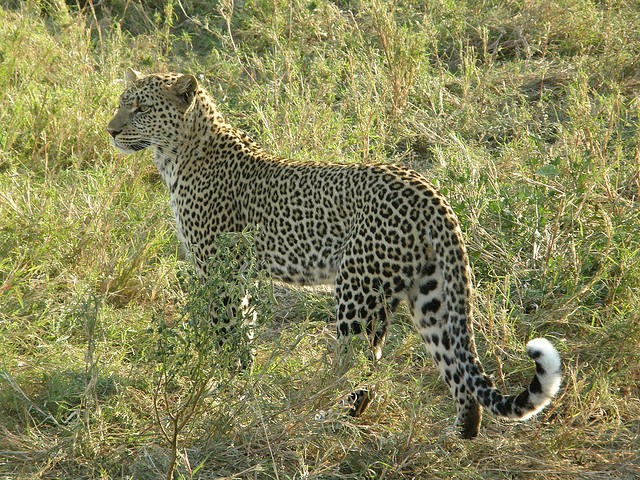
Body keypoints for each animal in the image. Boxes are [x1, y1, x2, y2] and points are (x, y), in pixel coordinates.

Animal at [107, 68, 564, 438]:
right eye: (121, 103)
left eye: (141, 107)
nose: (111, 131)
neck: (177, 155)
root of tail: (431, 194)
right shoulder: (239, 275)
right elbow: (244, 332)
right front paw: (241, 381)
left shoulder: (218, 271)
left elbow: (224, 334)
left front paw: (219, 387)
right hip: (430, 297)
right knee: (455, 372)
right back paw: (458, 436)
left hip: (356, 293)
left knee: (359, 367)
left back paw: (325, 415)